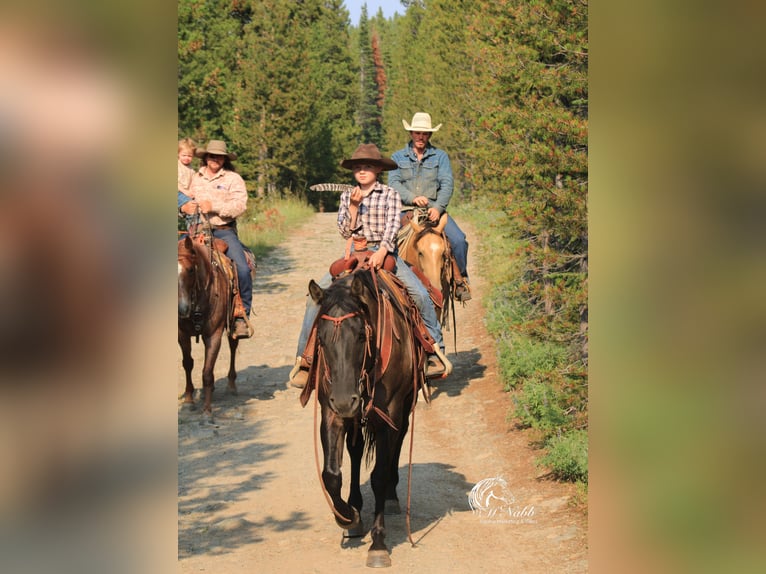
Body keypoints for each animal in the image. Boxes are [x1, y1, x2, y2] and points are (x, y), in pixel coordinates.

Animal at [178, 236, 238, 420]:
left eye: (191, 270)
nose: (181, 309)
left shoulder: (213, 335)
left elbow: (207, 372)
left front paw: (206, 410)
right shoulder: (182, 335)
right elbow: (188, 363)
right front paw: (188, 400)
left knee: (233, 346)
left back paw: (231, 384)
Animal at [302, 270, 432, 572]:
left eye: (361, 334)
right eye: (320, 338)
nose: (344, 400)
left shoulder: (388, 416)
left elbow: (379, 475)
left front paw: (378, 544)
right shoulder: (331, 413)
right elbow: (331, 474)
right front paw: (347, 516)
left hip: (402, 407)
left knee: (399, 440)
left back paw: (392, 497)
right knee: (356, 449)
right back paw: (355, 506)